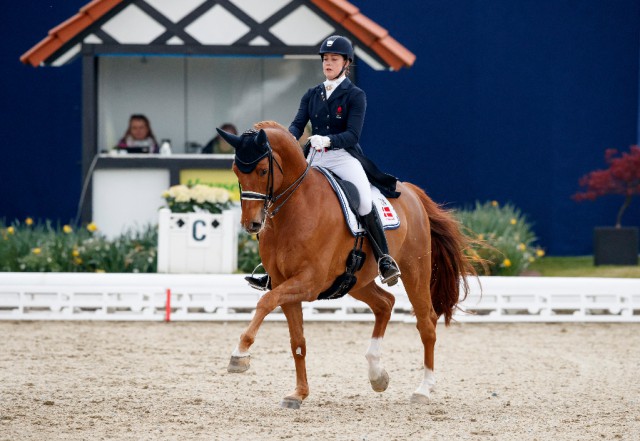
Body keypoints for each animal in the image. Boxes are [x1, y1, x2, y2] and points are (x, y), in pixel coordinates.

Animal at [220, 121, 476, 410]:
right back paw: (377, 374)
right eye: (236, 171)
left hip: (415, 270)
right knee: (385, 303)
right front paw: (299, 394)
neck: (296, 207)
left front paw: (239, 355)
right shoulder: (285, 284)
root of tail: (411, 192)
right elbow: (297, 342)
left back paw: (423, 389)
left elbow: (265, 303)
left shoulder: (308, 282)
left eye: (263, 170)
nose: (251, 224)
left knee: (426, 322)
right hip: (355, 280)